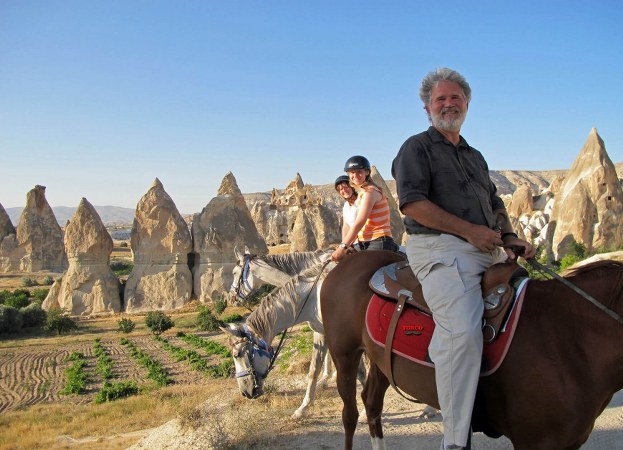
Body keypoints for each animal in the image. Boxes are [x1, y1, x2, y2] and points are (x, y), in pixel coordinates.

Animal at [322, 251, 623, 448]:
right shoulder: (536, 441)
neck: (568, 334)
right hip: (344, 354)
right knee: (350, 415)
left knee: (372, 402)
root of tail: (347, 261)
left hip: (382, 361)